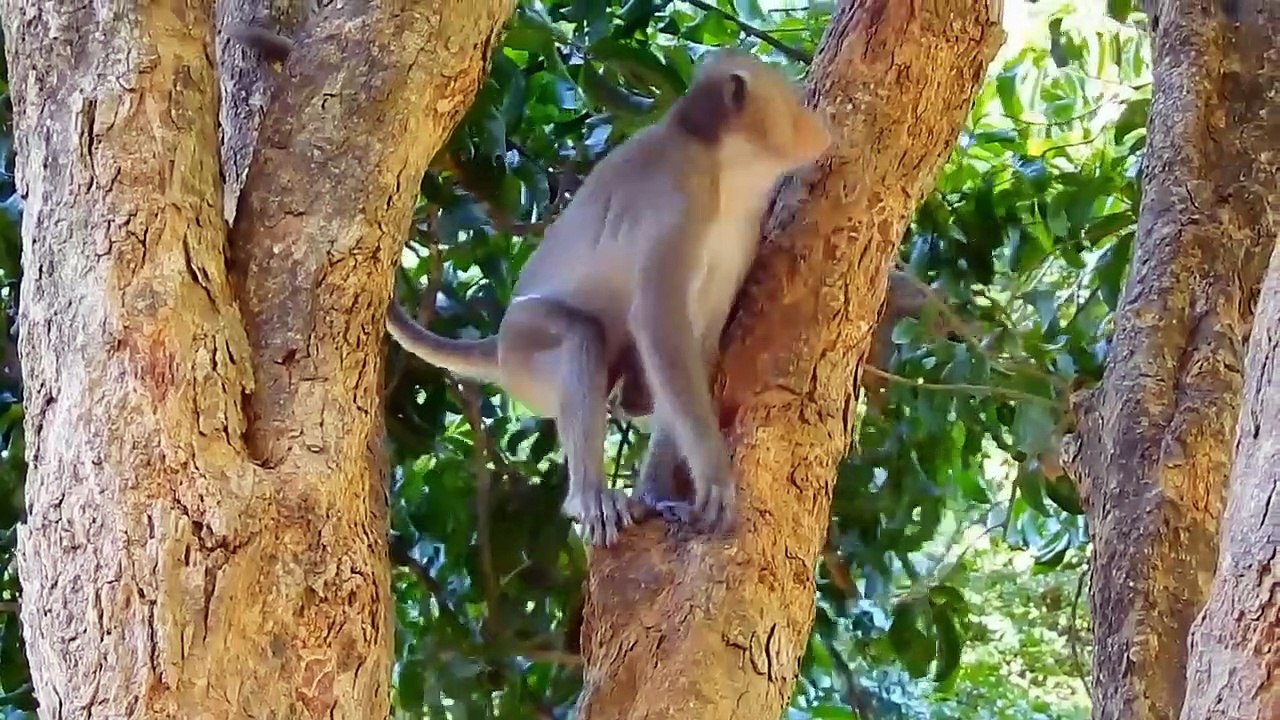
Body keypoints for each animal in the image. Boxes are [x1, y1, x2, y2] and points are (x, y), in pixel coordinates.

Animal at [386, 50, 831, 546]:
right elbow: (660, 326)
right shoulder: (679, 197)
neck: (724, 171)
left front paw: (656, 490)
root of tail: (497, 347)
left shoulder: (743, 232)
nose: (817, 123)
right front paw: (714, 476)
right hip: (524, 347)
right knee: (581, 338)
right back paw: (588, 496)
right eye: (792, 100)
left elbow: (695, 344)